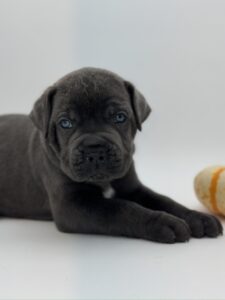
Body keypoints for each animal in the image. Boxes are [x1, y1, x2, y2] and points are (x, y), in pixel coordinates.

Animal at [0, 67, 221, 243]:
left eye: (119, 117)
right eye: (65, 123)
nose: (94, 149)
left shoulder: (132, 187)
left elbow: (163, 200)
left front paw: (197, 218)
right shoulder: (72, 206)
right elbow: (122, 209)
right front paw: (164, 223)